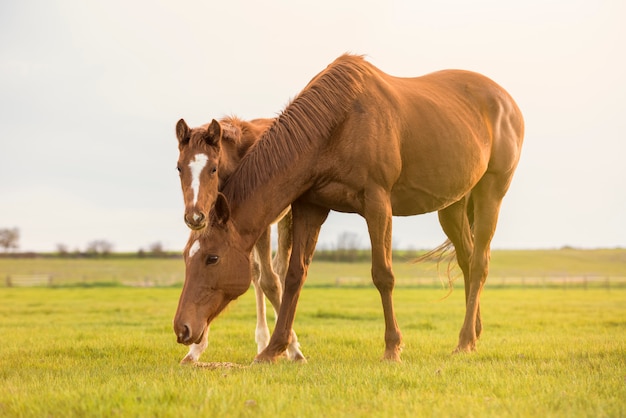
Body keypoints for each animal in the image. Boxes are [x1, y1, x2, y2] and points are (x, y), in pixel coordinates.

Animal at [174, 116, 304, 362]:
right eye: (179, 168)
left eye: (213, 168)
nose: (194, 216)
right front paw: (195, 349)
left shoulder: (259, 219)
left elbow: (269, 281)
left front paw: (293, 348)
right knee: (257, 272)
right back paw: (263, 340)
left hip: (286, 217)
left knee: (279, 270)